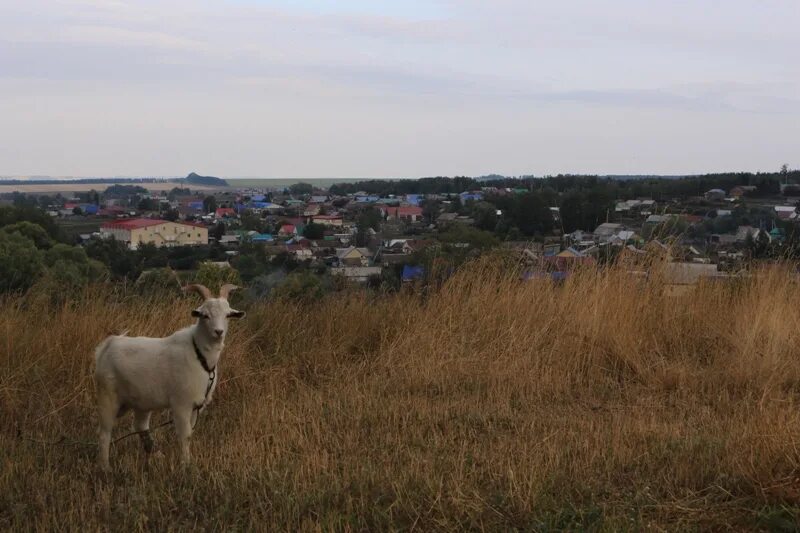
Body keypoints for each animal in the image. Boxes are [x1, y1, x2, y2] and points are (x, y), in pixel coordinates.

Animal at [94, 282, 245, 470]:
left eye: (228, 315)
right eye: (205, 315)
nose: (219, 332)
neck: (199, 353)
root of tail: (107, 345)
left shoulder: (195, 406)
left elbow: (190, 433)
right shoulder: (181, 403)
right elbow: (185, 435)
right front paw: (186, 465)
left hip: (142, 401)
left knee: (140, 425)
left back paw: (156, 455)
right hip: (107, 396)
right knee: (104, 432)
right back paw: (105, 467)